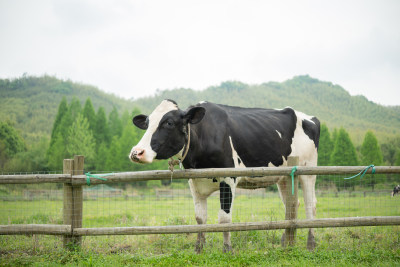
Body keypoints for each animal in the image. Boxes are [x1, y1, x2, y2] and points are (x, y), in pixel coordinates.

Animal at [130, 100, 320, 253]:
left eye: (169, 122)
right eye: (147, 123)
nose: (136, 152)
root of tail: (309, 117)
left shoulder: (228, 178)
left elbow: (224, 218)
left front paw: (227, 249)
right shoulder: (194, 181)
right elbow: (200, 218)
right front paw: (199, 248)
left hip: (308, 169)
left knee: (310, 205)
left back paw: (311, 244)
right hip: (284, 176)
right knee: (291, 204)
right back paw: (286, 242)